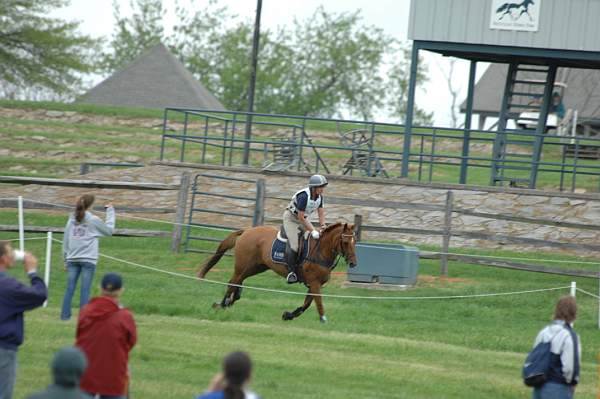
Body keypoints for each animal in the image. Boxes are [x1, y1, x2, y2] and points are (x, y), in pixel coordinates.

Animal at [197, 223, 356, 324]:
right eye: (345, 242)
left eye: (355, 242)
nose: (353, 263)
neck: (321, 250)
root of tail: (247, 231)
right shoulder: (314, 283)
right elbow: (318, 303)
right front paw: (323, 319)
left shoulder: (315, 284)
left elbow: (306, 304)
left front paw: (288, 315)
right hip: (243, 265)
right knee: (232, 282)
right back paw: (222, 304)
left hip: (255, 267)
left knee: (238, 281)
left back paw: (230, 300)